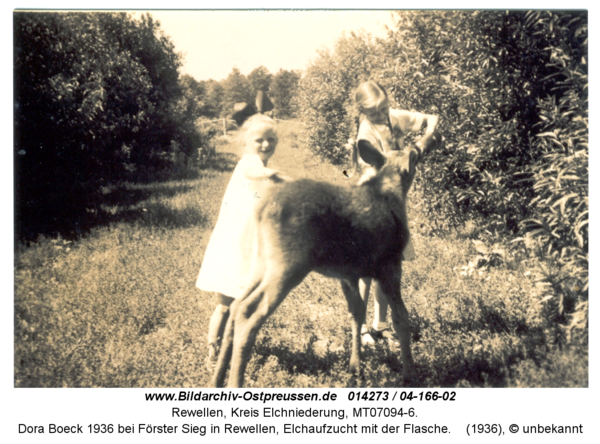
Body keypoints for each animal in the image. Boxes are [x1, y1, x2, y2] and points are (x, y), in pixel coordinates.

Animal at [211, 130, 446, 386]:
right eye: (415, 153)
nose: (434, 138)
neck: (392, 194)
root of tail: (262, 209)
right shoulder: (389, 264)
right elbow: (401, 318)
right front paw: (410, 374)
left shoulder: (350, 273)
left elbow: (357, 314)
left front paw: (355, 368)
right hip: (289, 264)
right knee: (247, 311)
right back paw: (233, 382)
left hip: (263, 263)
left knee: (235, 305)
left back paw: (217, 379)